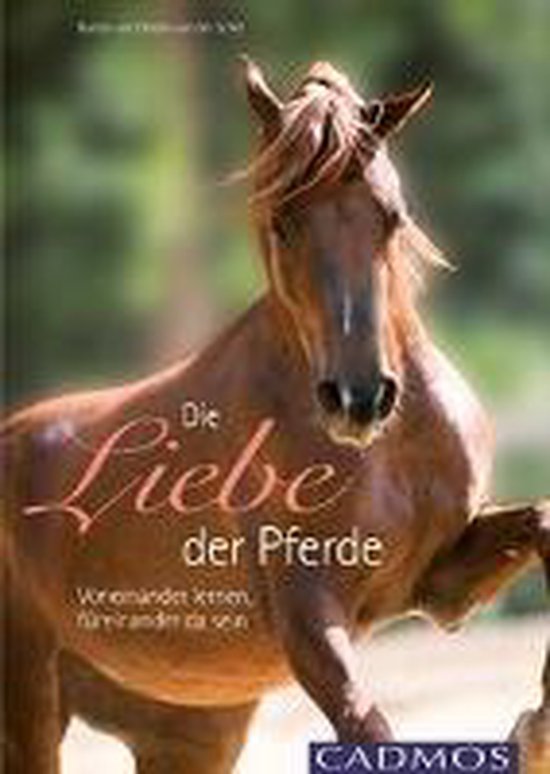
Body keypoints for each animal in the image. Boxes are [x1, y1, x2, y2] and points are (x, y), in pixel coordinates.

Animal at [1, 59, 549, 774]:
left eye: (392, 216)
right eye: (283, 218)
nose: (359, 398)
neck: (386, 451)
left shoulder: (440, 588)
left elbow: (542, 521)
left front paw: (537, 724)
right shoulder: (308, 617)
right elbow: (367, 727)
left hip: (188, 734)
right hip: (30, 702)